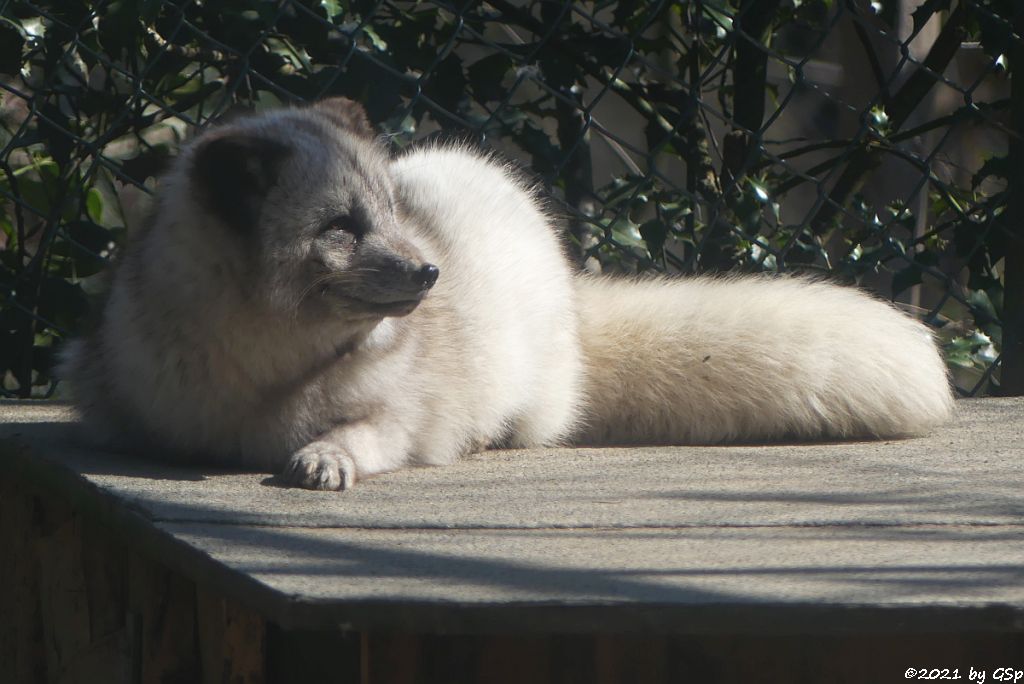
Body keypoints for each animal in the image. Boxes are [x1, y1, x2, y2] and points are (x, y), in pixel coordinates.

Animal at [59, 98, 954, 489]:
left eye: (390, 210)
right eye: (342, 226)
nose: (429, 273)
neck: (263, 373)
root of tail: (570, 289)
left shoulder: (407, 416)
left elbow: (370, 432)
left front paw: (325, 457)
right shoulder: (112, 396)